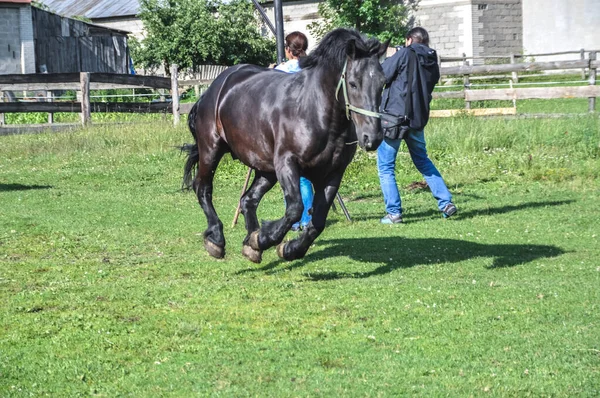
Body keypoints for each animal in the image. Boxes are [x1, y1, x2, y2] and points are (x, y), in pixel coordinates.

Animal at [183, 28, 390, 264]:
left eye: (383, 83)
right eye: (353, 83)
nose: (372, 138)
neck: (314, 112)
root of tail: (215, 87)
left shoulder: (333, 173)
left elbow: (318, 220)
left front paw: (287, 248)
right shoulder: (287, 163)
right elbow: (295, 209)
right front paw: (264, 238)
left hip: (265, 167)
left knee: (248, 200)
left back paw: (251, 244)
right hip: (211, 149)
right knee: (203, 188)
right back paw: (216, 239)